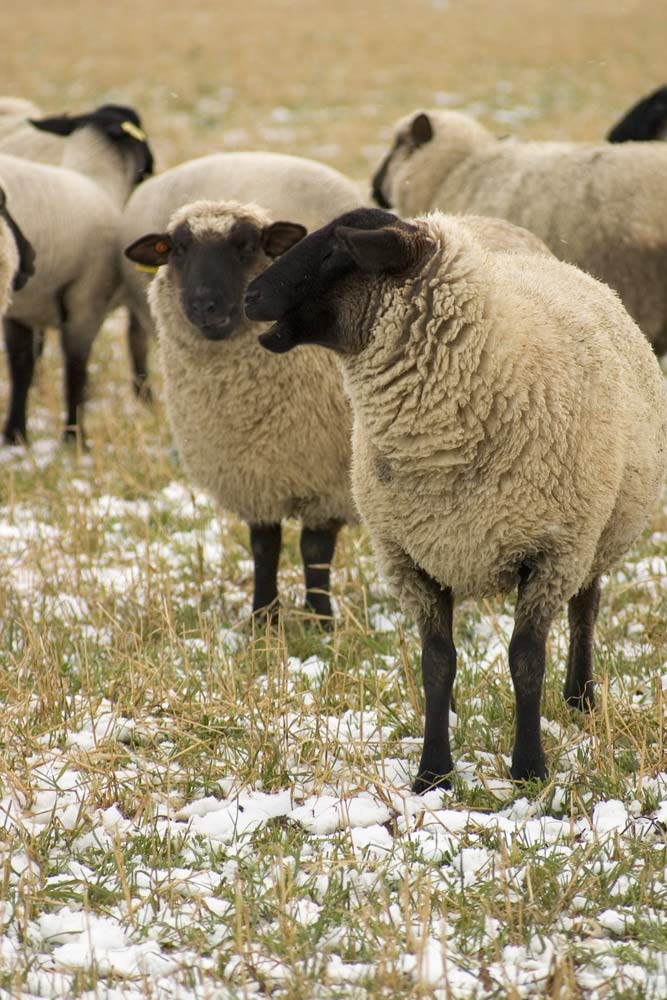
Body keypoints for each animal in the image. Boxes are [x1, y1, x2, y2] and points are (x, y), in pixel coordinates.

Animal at [0, 104, 155, 442]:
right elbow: (72, 369)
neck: (98, 178)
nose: (29, 261)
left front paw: (18, 434)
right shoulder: (85, 298)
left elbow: (24, 366)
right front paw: (72, 436)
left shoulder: (22, 309)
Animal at [245, 207, 667, 792]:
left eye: (337, 251)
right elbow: (437, 663)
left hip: (597, 533)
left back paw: (580, 696)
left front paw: (529, 769)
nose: (249, 295)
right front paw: (433, 772)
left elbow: (525, 662)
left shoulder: (552, 553)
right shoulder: (410, 558)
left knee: (586, 608)